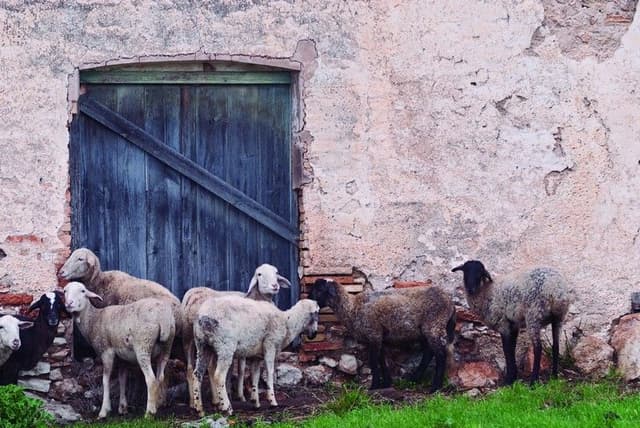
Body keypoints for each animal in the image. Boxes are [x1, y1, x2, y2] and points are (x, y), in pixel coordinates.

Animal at [64, 280, 176, 418]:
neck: (94, 319)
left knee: (151, 379)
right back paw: (158, 405)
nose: (69, 303)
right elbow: (122, 379)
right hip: (167, 348)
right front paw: (123, 408)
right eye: (65, 291)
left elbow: (105, 380)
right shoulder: (123, 358)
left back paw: (149, 412)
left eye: (83, 291)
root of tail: (163, 317)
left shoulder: (106, 351)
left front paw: (104, 411)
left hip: (143, 345)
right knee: (160, 377)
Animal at [180, 264, 290, 408]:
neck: (256, 298)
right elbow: (243, 369)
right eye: (259, 274)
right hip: (216, 345)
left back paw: (195, 404)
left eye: (276, 273)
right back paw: (219, 402)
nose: (275, 285)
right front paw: (241, 395)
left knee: (191, 370)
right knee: (213, 371)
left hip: (192, 341)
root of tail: (192, 297)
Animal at [308, 280, 456, 392]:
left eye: (319, 290)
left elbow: (374, 362)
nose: (308, 300)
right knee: (428, 354)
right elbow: (381, 359)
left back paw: (435, 387)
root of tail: (450, 303)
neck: (352, 308)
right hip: (426, 331)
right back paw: (414, 379)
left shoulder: (374, 334)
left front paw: (373, 386)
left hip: (434, 325)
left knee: (440, 355)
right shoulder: (377, 337)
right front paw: (386, 383)